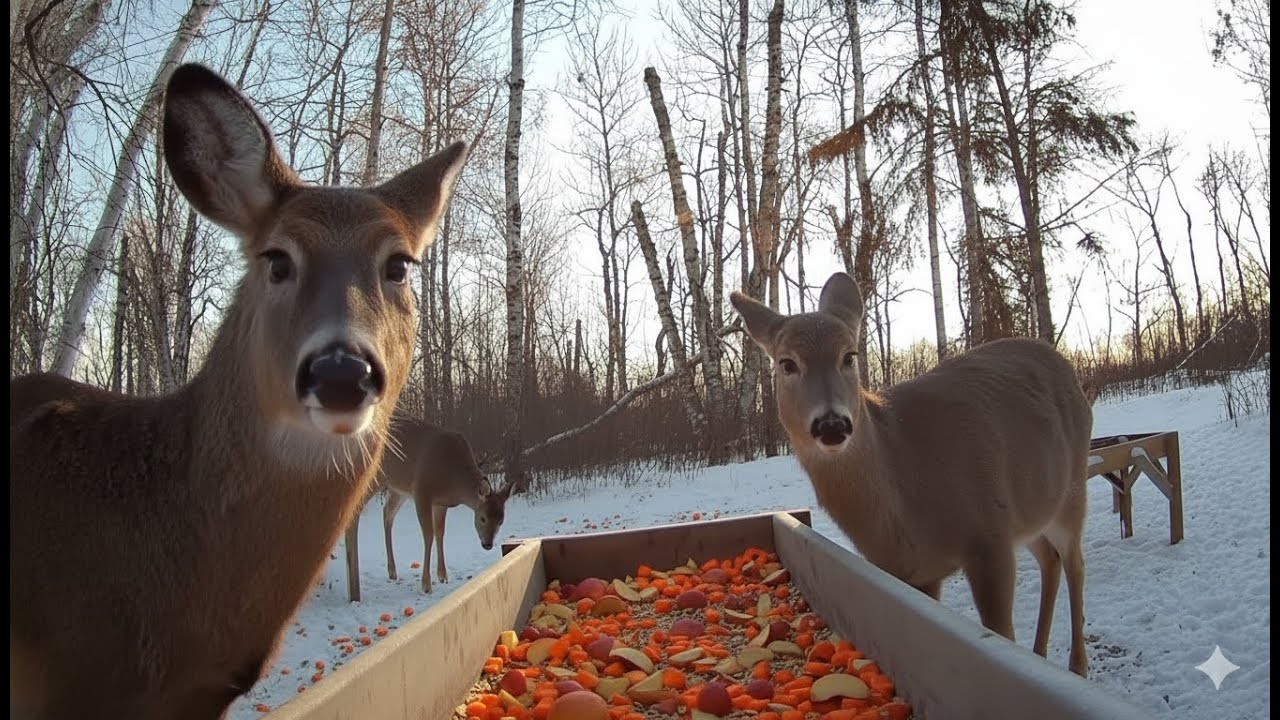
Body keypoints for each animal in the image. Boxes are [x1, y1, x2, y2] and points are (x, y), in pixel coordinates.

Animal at [343, 416, 526, 600]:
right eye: (482, 518)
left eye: (501, 520)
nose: (487, 544)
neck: (453, 478)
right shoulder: (421, 492)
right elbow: (429, 535)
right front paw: (426, 585)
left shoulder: (440, 503)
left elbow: (440, 533)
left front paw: (443, 575)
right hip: (374, 477)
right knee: (355, 511)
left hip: (398, 488)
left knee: (387, 513)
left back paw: (392, 571)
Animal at [731, 272, 1094, 677]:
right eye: (786, 363)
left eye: (849, 356)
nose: (832, 424)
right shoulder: (912, 573)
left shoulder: (990, 536)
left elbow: (1002, 633)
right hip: (1032, 510)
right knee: (1050, 559)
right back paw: (1041, 653)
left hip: (1072, 490)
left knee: (1075, 563)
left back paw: (1077, 666)